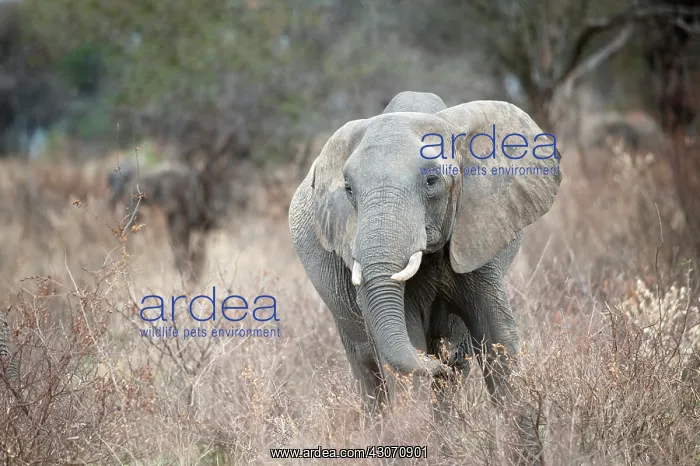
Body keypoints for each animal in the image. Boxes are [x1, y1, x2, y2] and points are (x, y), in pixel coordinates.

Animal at [288, 91, 562, 414]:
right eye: (349, 189)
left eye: (432, 181)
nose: (437, 365)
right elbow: (407, 338)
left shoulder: (479, 235)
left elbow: (498, 335)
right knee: (367, 368)